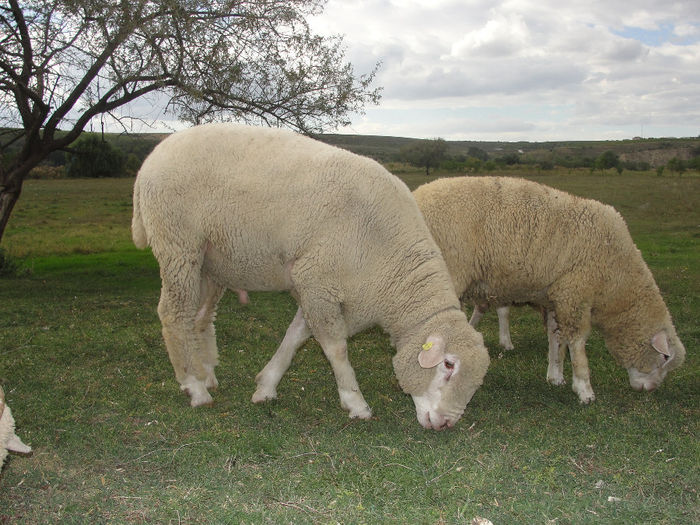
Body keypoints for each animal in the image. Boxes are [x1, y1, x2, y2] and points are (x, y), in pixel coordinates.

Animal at [134, 124, 490, 430]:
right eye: (448, 365)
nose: (445, 424)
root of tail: (152, 157)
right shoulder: (317, 279)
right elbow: (335, 349)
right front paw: (355, 402)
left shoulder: (319, 286)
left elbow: (295, 336)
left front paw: (266, 386)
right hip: (178, 247)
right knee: (173, 315)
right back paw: (194, 387)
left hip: (210, 262)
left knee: (199, 317)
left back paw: (206, 374)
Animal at [412, 176, 688, 402]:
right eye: (664, 358)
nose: (650, 390)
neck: (617, 282)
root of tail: (416, 194)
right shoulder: (575, 293)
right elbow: (577, 344)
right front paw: (584, 389)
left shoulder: (556, 298)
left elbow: (556, 339)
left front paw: (555, 375)